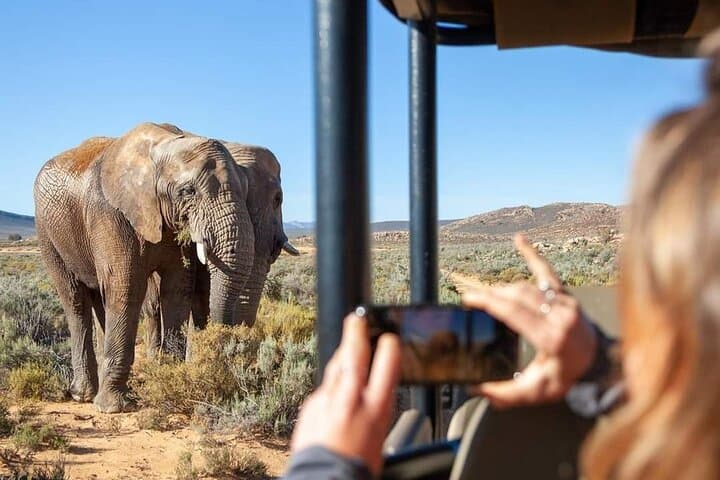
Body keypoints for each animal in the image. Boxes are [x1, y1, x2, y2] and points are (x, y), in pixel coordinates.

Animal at [34, 122, 256, 412]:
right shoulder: (111, 214)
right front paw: (112, 408)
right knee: (75, 299)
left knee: (100, 299)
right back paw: (84, 395)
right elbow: (127, 288)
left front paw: (171, 383)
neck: (164, 144)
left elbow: (177, 290)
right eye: (188, 191)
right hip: (47, 232)